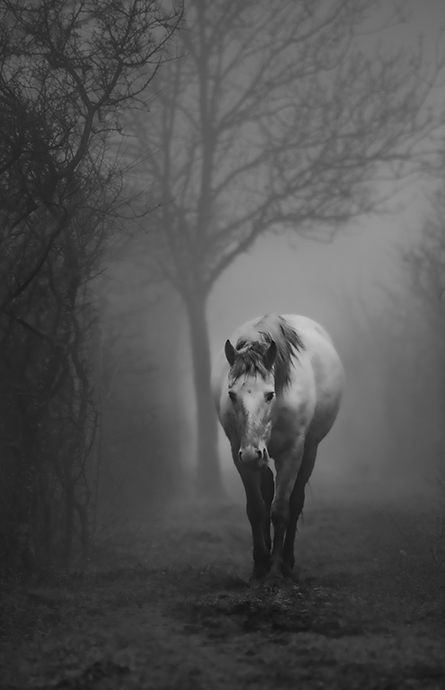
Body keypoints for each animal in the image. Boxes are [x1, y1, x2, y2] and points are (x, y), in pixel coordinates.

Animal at [211, 314, 344, 580]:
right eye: (232, 394)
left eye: (270, 394)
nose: (251, 454)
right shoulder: (239, 454)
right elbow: (256, 508)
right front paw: (260, 565)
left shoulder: (292, 453)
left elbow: (281, 509)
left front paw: (274, 567)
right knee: (267, 490)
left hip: (308, 451)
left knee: (296, 500)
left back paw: (287, 560)